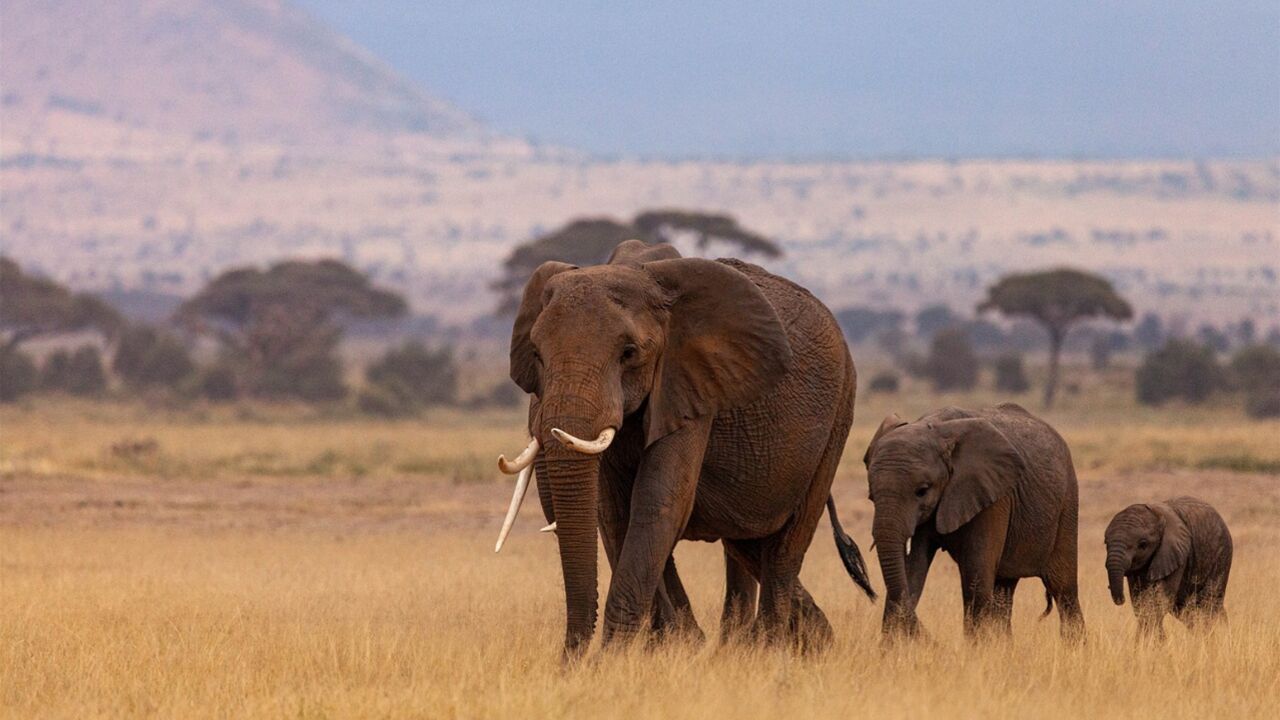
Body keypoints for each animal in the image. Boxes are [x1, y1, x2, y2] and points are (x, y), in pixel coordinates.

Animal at [488, 240, 870, 655]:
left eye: (629, 353)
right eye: (537, 355)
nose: (570, 659)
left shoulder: (691, 387)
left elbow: (659, 503)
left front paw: (615, 657)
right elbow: (615, 513)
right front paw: (669, 648)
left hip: (839, 414)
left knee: (787, 546)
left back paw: (769, 649)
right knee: (747, 542)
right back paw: (806, 641)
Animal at [860, 404, 1080, 638]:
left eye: (922, 490)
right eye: (871, 496)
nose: (932, 640)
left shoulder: (994, 496)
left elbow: (976, 574)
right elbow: (912, 570)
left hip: (1067, 503)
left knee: (1063, 588)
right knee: (1004, 589)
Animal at [1100, 491, 1228, 638]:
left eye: (1143, 544)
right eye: (1106, 543)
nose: (1120, 600)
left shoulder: (1176, 553)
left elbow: (1159, 599)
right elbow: (1139, 601)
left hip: (1221, 556)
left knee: (1209, 603)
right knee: (1187, 611)